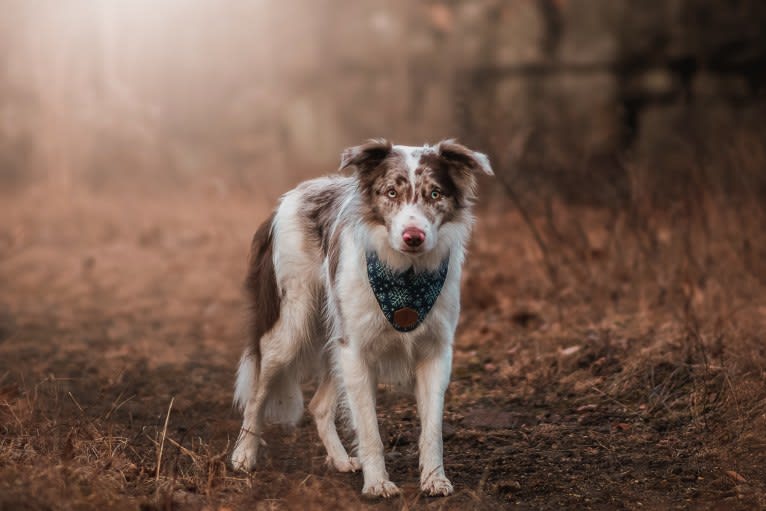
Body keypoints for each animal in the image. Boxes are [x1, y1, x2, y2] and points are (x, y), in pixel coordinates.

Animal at [232, 138, 492, 498]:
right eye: (391, 192)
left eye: (435, 194)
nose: (414, 236)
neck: (405, 276)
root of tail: (289, 197)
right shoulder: (355, 350)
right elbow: (369, 429)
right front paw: (378, 483)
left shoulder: (436, 352)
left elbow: (432, 429)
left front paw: (434, 479)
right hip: (289, 328)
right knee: (256, 395)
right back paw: (244, 454)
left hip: (335, 336)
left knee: (318, 405)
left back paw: (341, 460)